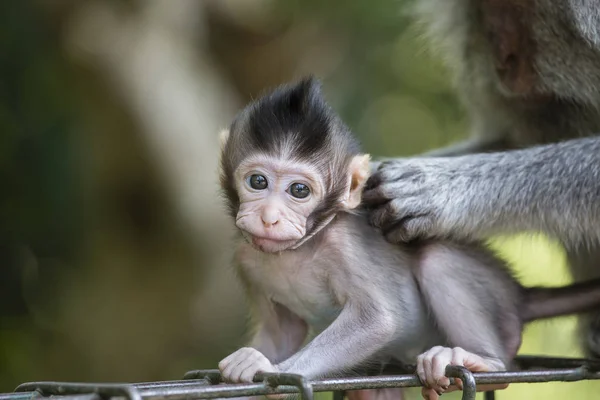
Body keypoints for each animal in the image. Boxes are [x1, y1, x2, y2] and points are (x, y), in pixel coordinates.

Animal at [218, 76, 600, 398]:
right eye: (257, 182)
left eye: (299, 190)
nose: (269, 218)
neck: (298, 250)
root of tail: (518, 293)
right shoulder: (245, 259)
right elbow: (282, 333)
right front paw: (250, 362)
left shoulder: (343, 246)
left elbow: (377, 321)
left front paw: (271, 368)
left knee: (438, 261)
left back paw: (486, 362)